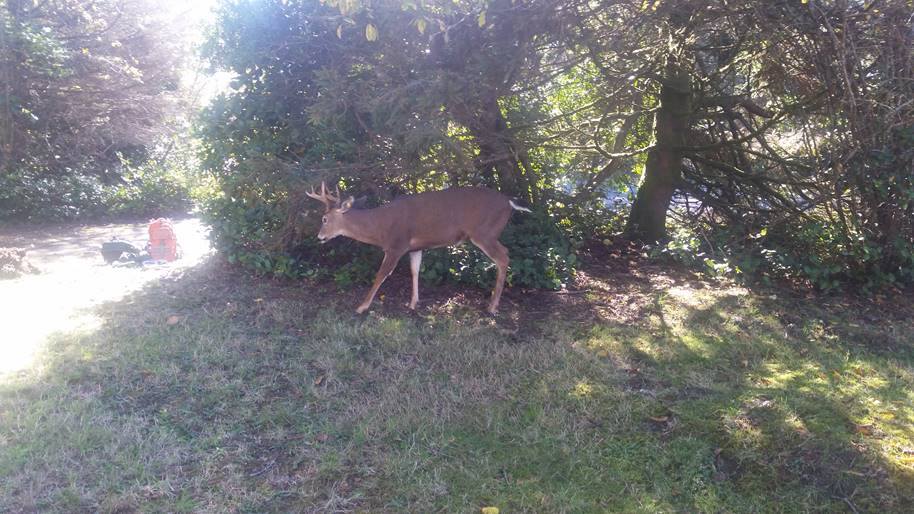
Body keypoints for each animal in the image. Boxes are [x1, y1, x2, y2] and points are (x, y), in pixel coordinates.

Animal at [306, 182, 531, 314]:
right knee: (506, 254)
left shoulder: (396, 245)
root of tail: (509, 202)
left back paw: (492, 306)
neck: (379, 227)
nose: (320, 237)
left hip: (484, 232)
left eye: (324, 219)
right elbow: (415, 270)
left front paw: (361, 306)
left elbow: (381, 274)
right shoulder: (415, 247)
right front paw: (413, 303)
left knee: (503, 256)